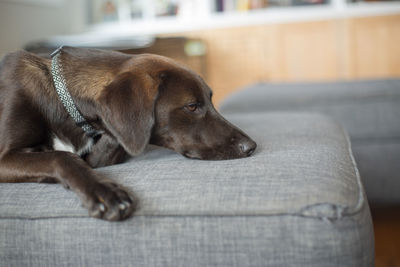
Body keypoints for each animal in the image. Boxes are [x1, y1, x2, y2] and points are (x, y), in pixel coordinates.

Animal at [0, 46, 256, 222]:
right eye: (192, 106)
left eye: (211, 101)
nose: (251, 146)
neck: (63, 101)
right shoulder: (4, 158)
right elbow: (62, 157)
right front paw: (103, 192)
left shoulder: (100, 153)